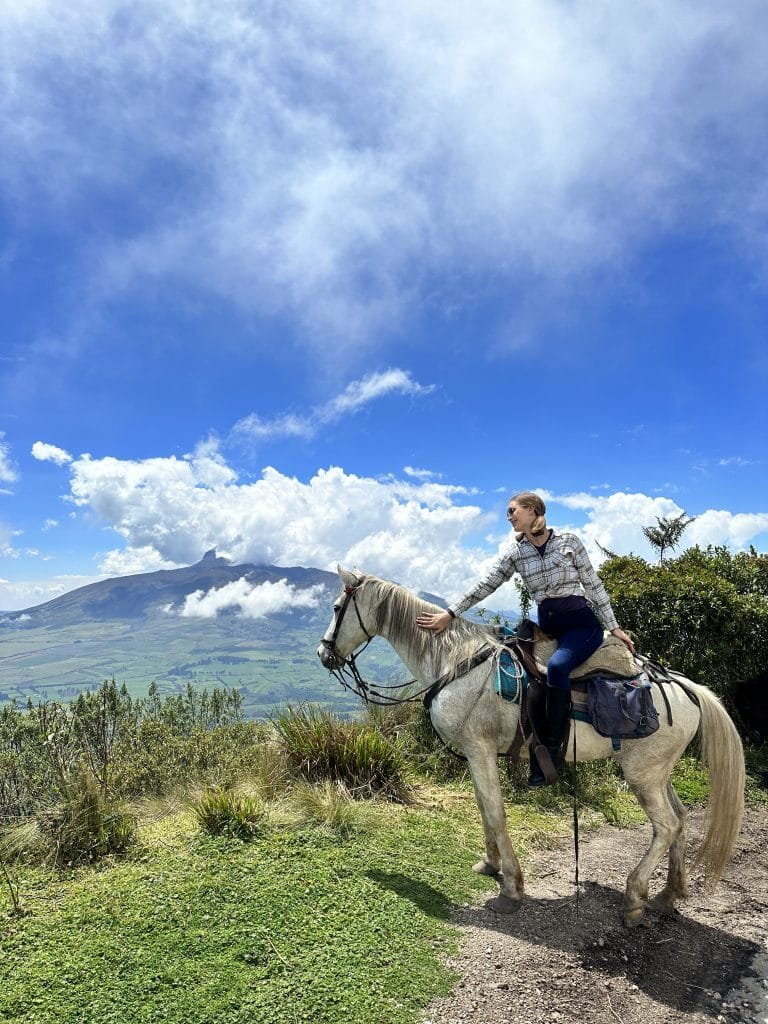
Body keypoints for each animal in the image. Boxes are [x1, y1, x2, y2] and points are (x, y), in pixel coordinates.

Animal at [317, 569, 745, 929]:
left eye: (337, 608)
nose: (323, 654)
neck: (456, 660)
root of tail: (689, 689)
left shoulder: (479, 749)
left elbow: (495, 812)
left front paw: (510, 888)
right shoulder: (476, 755)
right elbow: (483, 808)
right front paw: (490, 864)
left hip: (642, 775)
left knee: (667, 826)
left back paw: (634, 899)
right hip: (658, 772)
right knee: (682, 819)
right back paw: (669, 894)